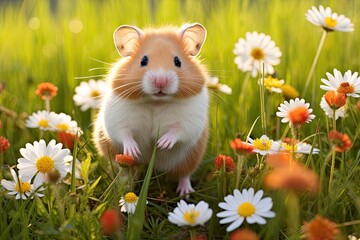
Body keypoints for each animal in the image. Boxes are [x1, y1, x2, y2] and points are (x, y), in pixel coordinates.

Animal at [93, 22, 208, 196]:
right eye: (143, 60)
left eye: (178, 61)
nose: (160, 81)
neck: (155, 102)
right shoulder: (117, 119)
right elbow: (124, 133)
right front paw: (134, 151)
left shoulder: (191, 122)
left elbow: (178, 131)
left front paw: (161, 143)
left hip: (191, 157)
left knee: (184, 174)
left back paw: (185, 193)